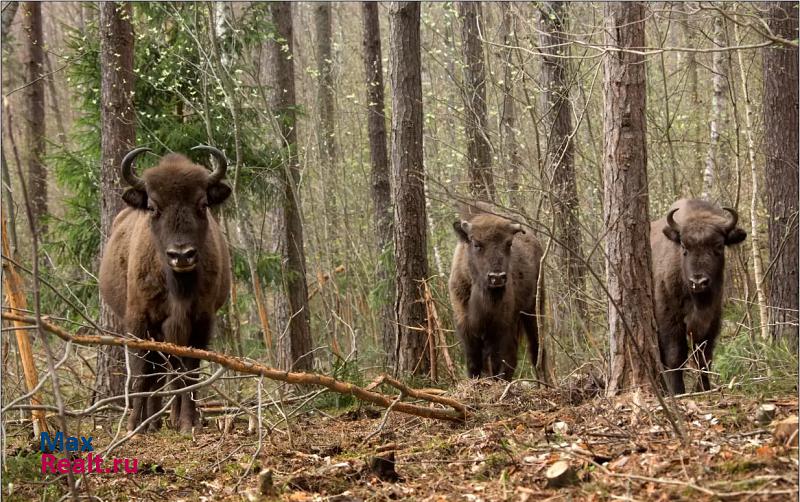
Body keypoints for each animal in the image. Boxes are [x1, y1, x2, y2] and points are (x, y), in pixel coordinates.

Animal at [97, 145, 231, 432]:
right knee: (157, 372)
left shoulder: (200, 323)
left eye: (203, 204)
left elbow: (189, 373)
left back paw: (169, 418)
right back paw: (152, 421)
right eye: (152, 207)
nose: (181, 255)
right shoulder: (139, 322)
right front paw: (135, 425)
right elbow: (142, 372)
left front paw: (189, 423)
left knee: (172, 372)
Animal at [446, 204, 548, 380]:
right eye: (476, 244)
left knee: (536, 350)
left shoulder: (501, 328)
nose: (497, 277)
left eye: (508, 243)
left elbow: (499, 361)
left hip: (533, 310)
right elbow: (474, 363)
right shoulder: (465, 326)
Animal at [652, 198, 748, 394]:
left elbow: (704, 357)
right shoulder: (670, 321)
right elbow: (675, 356)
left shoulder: (711, 321)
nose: (698, 281)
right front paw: (678, 391)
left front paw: (703, 389)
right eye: (684, 246)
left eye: (718, 246)